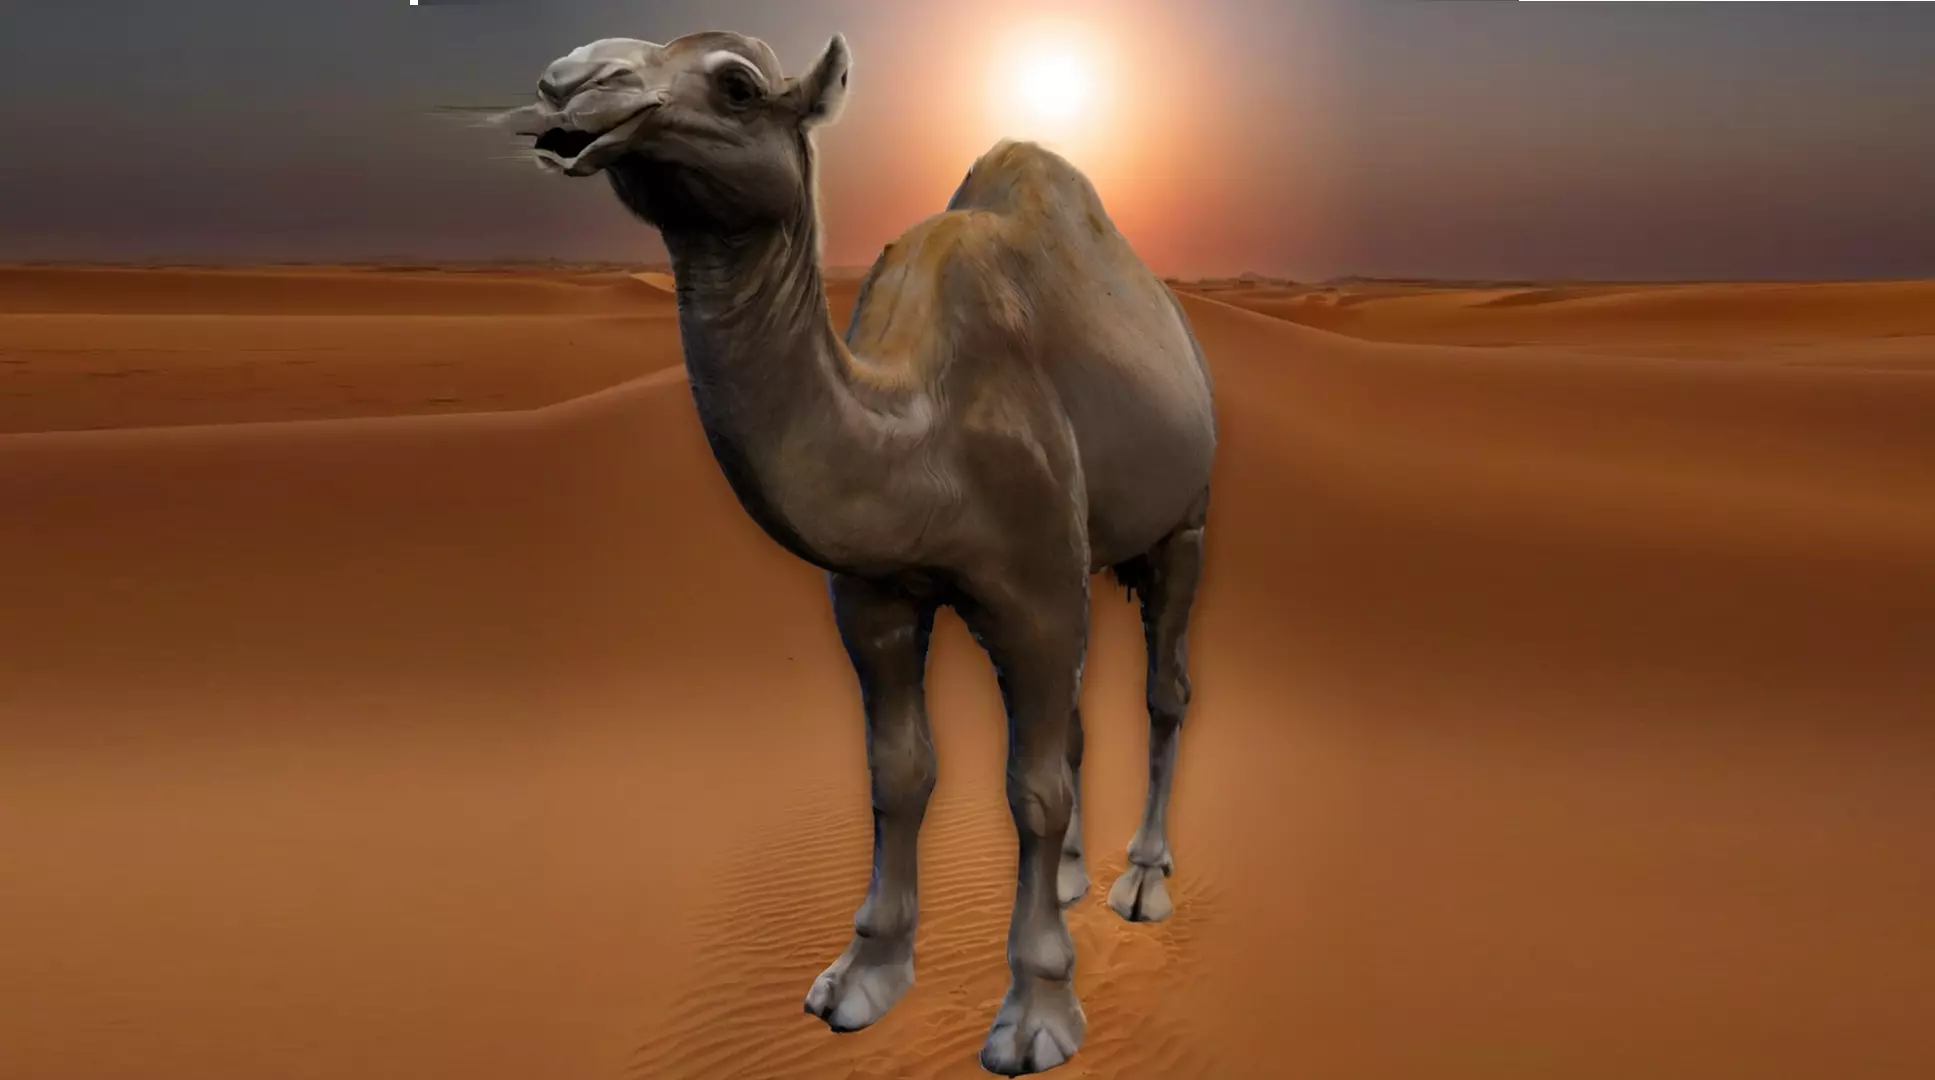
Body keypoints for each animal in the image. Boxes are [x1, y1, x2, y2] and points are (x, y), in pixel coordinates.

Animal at [493, 30, 1216, 1076]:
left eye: (737, 84)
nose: (569, 82)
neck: (917, 425)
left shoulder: (1033, 594)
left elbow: (1030, 790)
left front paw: (1037, 1012)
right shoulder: (874, 597)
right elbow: (898, 772)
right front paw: (864, 975)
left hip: (1185, 519)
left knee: (1163, 691)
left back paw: (1142, 880)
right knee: (1079, 722)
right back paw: (1073, 879)